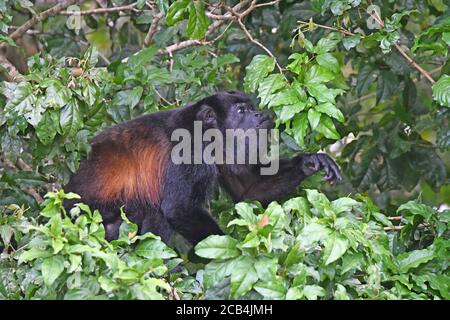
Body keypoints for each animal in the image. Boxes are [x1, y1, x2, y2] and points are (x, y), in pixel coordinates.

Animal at [64, 91, 342, 244]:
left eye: (251, 108)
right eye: (241, 111)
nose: (259, 114)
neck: (207, 132)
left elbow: (248, 190)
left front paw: (310, 162)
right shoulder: (188, 150)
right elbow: (179, 209)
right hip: (94, 215)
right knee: (153, 210)